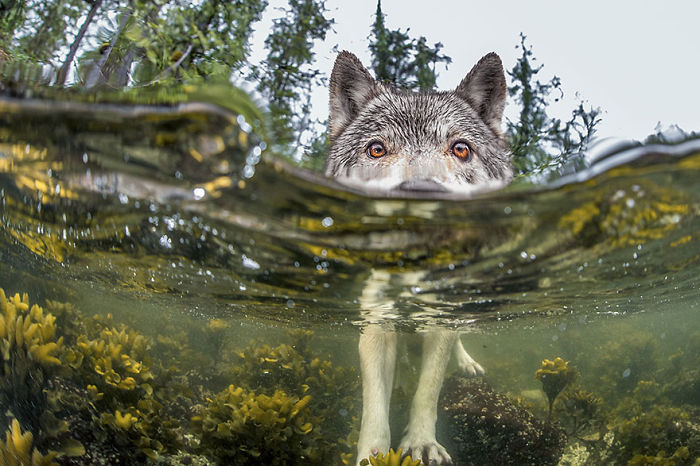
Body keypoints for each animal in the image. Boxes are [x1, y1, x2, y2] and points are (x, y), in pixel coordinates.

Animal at [325, 51, 512, 465]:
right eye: (377, 149)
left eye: (461, 149)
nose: (421, 193)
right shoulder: (376, 323)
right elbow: (374, 404)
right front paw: (373, 454)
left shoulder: (439, 321)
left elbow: (428, 389)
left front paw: (422, 444)